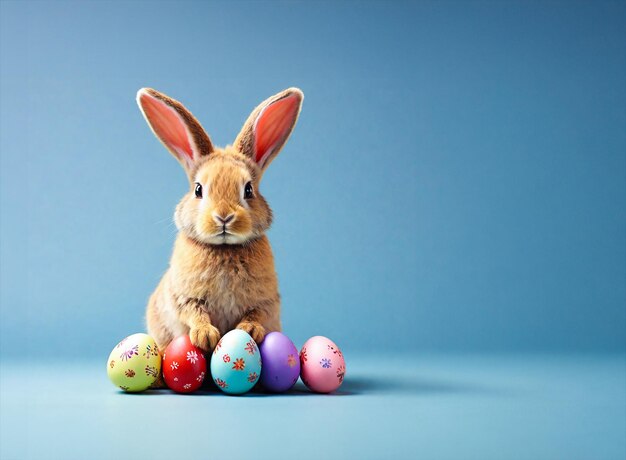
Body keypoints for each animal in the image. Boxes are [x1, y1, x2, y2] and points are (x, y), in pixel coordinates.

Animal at [136, 86, 302, 352]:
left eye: (248, 190)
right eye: (198, 189)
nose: (224, 217)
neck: (225, 249)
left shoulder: (265, 302)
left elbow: (257, 314)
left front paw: (248, 330)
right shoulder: (184, 298)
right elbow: (194, 313)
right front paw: (205, 335)